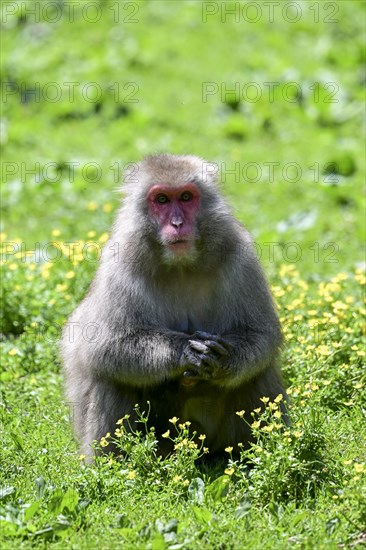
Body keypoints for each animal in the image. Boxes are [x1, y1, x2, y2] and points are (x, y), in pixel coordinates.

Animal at [61, 153, 288, 460]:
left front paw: (224, 360)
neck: (181, 266)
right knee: (110, 376)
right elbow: (104, 345)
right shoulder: (120, 263)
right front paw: (185, 352)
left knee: (257, 372)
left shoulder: (241, 256)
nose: (178, 223)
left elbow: (261, 335)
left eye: (186, 196)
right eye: (162, 200)